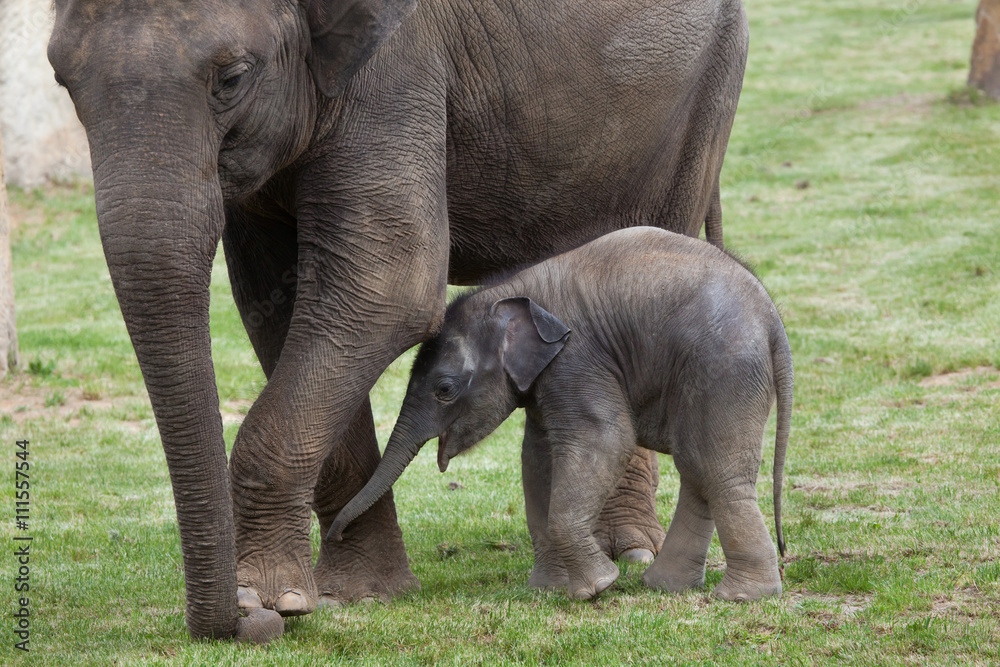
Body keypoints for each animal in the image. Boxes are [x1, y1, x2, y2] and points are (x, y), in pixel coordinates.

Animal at [331, 228, 792, 602]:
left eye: (445, 389)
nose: (334, 532)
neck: (510, 290)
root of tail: (772, 317)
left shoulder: (577, 358)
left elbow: (605, 440)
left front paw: (597, 588)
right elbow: (538, 458)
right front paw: (549, 589)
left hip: (723, 368)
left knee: (715, 469)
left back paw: (740, 596)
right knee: (697, 467)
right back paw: (665, 586)